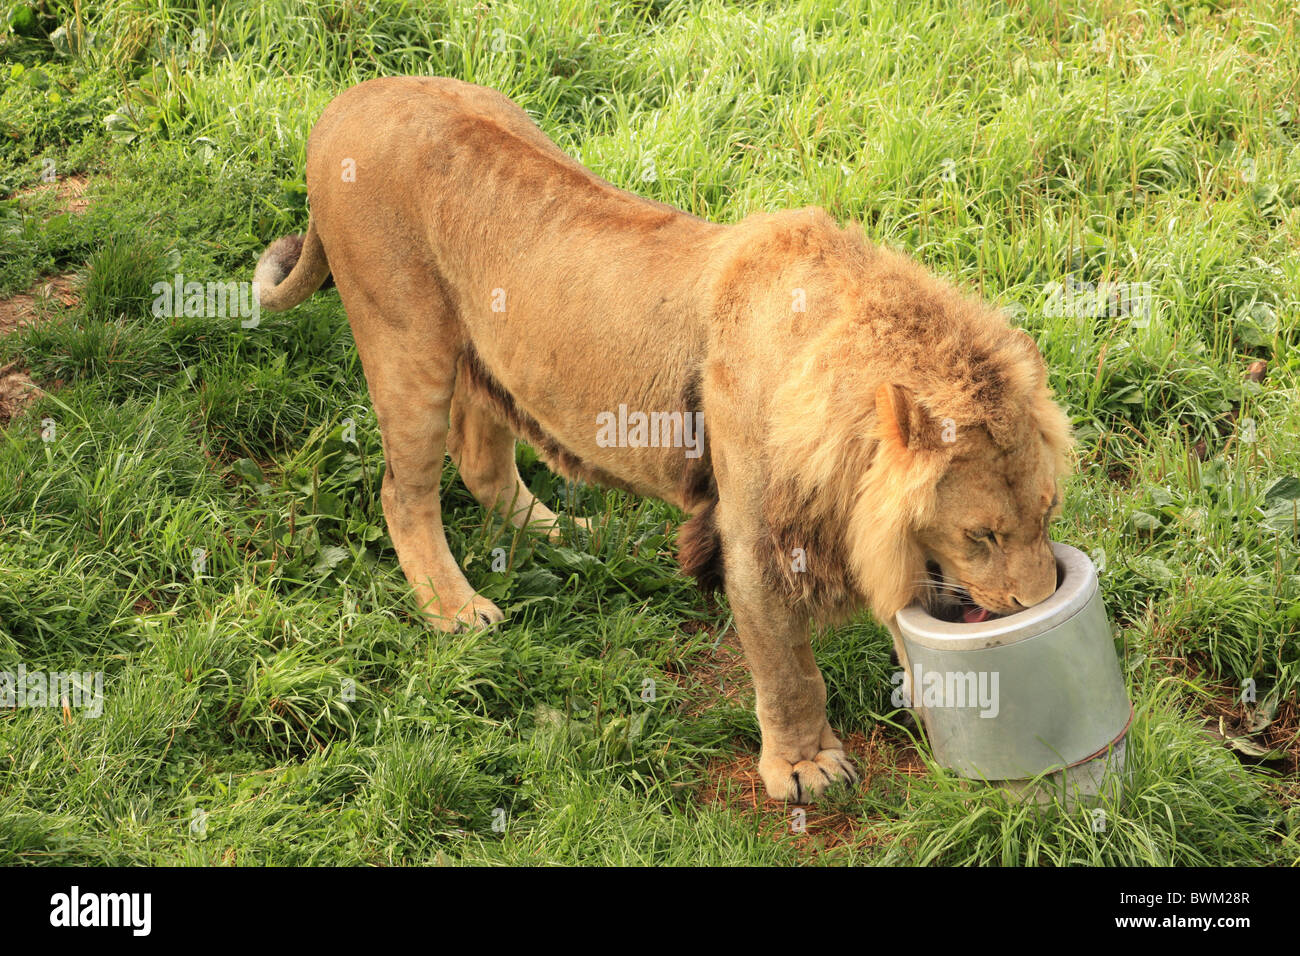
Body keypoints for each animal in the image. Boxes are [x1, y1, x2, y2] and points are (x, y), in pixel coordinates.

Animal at [253, 78, 1076, 806]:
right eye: (981, 535)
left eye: (1047, 513)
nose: (1034, 602)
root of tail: (344, 102)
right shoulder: (752, 538)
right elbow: (788, 670)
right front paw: (804, 767)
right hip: (405, 342)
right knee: (405, 490)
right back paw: (454, 608)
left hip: (485, 344)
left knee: (482, 461)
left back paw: (571, 536)